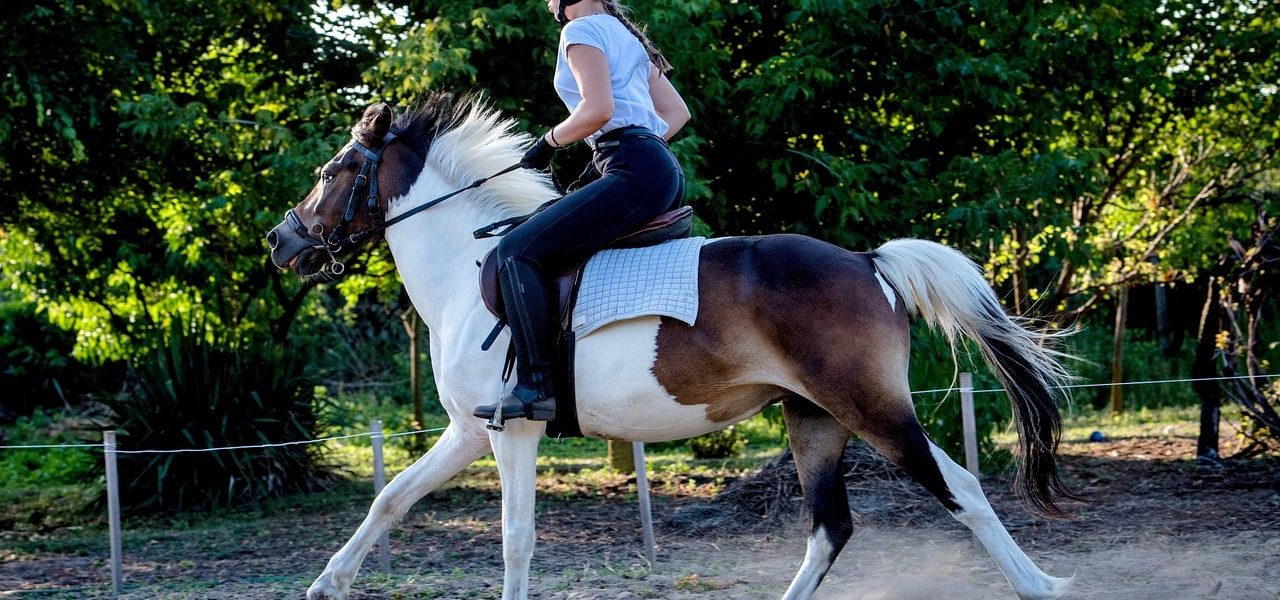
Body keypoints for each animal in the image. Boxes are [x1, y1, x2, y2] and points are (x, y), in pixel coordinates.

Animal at [266, 92, 1076, 600]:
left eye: (333, 172)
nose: (281, 241)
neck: (467, 269)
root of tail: (867, 261)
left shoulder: (513, 429)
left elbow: (515, 537)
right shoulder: (470, 430)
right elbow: (390, 499)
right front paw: (327, 582)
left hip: (870, 407)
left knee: (959, 489)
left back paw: (1041, 585)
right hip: (812, 416)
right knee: (830, 527)